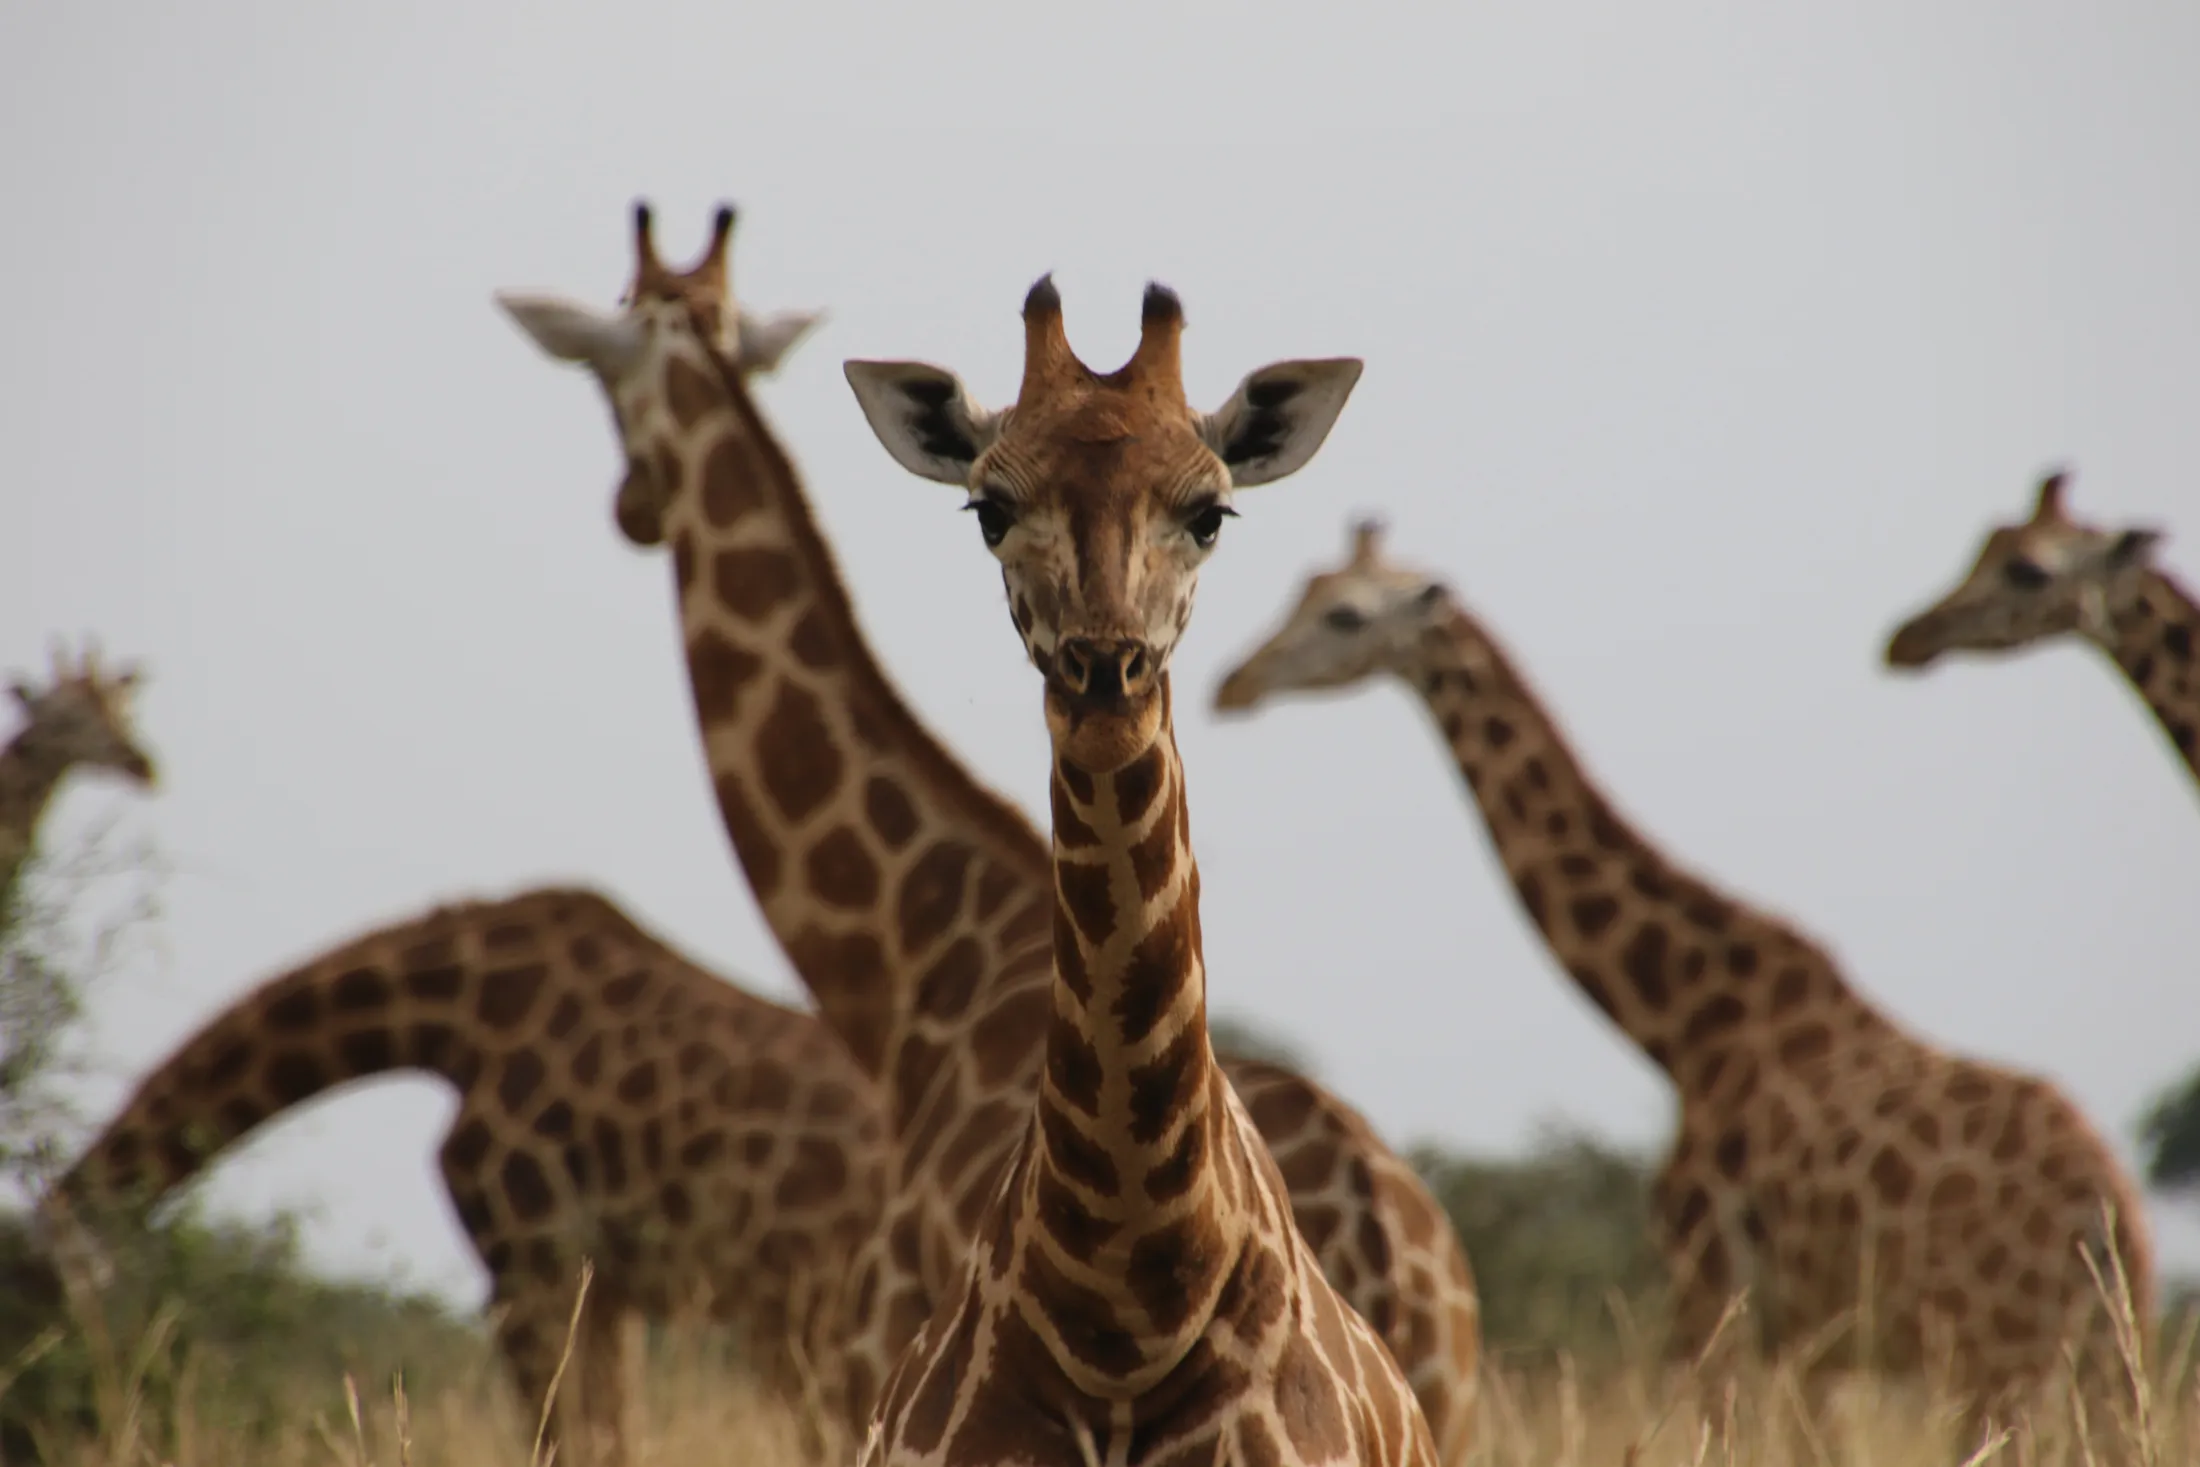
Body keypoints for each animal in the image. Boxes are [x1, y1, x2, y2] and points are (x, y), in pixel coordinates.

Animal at [38, 885, 889, 1467]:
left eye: (68, 1290)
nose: (86, 1395)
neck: (451, 1011)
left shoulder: (526, 1261)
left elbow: (562, 1440)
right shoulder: (600, 1285)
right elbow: (610, 1437)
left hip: (817, 1316)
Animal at [1210, 518, 2155, 1430]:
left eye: (1343, 613)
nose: (1234, 682)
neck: (1687, 1018)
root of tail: (2117, 1220)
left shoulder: (1709, 1268)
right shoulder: (1808, 1331)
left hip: (2000, 1346)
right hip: (2079, 1360)